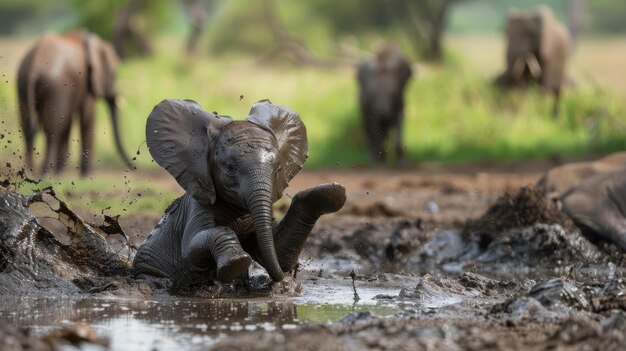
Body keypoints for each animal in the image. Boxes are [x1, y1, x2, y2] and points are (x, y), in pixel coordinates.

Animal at [16, 30, 132, 176]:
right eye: (114, 73)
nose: (133, 167)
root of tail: (33, 68)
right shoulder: (86, 83)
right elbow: (87, 117)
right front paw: (84, 176)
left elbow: (68, 122)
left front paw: (60, 172)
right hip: (56, 87)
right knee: (52, 131)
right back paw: (45, 174)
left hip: (22, 85)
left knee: (27, 126)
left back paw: (30, 172)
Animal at [133, 98, 346, 286]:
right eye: (230, 168)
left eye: (278, 169)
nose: (283, 280)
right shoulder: (199, 205)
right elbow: (190, 250)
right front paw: (236, 263)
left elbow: (278, 250)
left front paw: (332, 192)